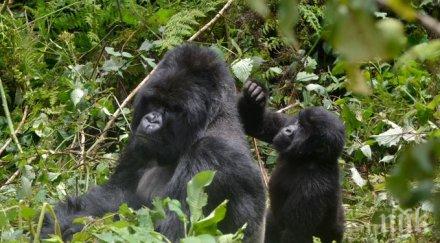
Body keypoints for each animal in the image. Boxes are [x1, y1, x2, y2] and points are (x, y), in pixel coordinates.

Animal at [41, 44, 266, 242]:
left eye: (172, 108)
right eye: (154, 102)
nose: (150, 120)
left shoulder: (211, 155)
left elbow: (172, 231)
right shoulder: (137, 142)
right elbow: (115, 194)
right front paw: (53, 221)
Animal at [239, 81, 346, 243]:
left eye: (303, 128)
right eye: (298, 122)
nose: (288, 130)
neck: (308, 158)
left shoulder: (313, 189)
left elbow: (295, 233)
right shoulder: (287, 121)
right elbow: (261, 126)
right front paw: (255, 95)